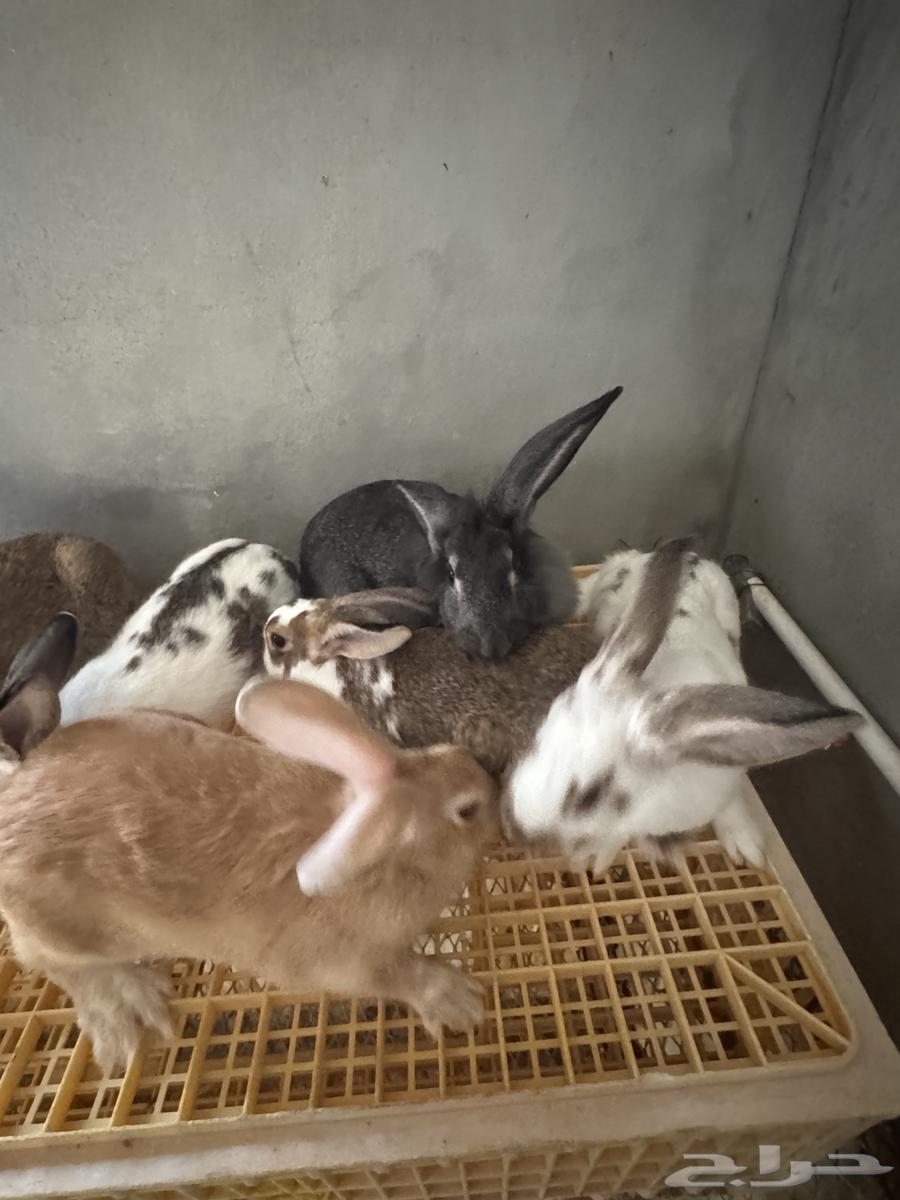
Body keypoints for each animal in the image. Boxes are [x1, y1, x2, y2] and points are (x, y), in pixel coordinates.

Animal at [0, 614, 498, 1073]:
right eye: (467, 810)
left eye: (446, 753)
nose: (489, 784)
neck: (383, 854)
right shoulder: (351, 962)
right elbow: (401, 977)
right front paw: (461, 1002)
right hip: (65, 931)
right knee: (56, 964)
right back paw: (130, 1011)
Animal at [506, 537, 863, 876]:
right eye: (538, 738)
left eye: (588, 796)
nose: (518, 824)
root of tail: (692, 558)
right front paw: (593, 855)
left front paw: (744, 842)